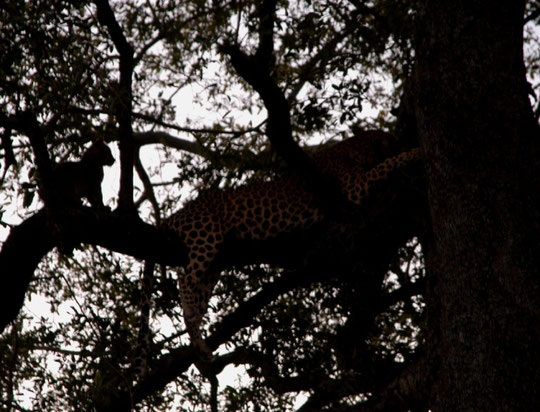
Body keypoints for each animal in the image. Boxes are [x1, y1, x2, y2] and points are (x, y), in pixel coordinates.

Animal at [162, 130, 420, 356]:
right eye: (395, 141)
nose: (402, 142)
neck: (354, 149)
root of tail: (175, 215)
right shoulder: (356, 188)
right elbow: (386, 165)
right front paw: (413, 154)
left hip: (213, 266)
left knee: (196, 291)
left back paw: (200, 342)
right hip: (206, 236)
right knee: (185, 280)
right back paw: (191, 314)